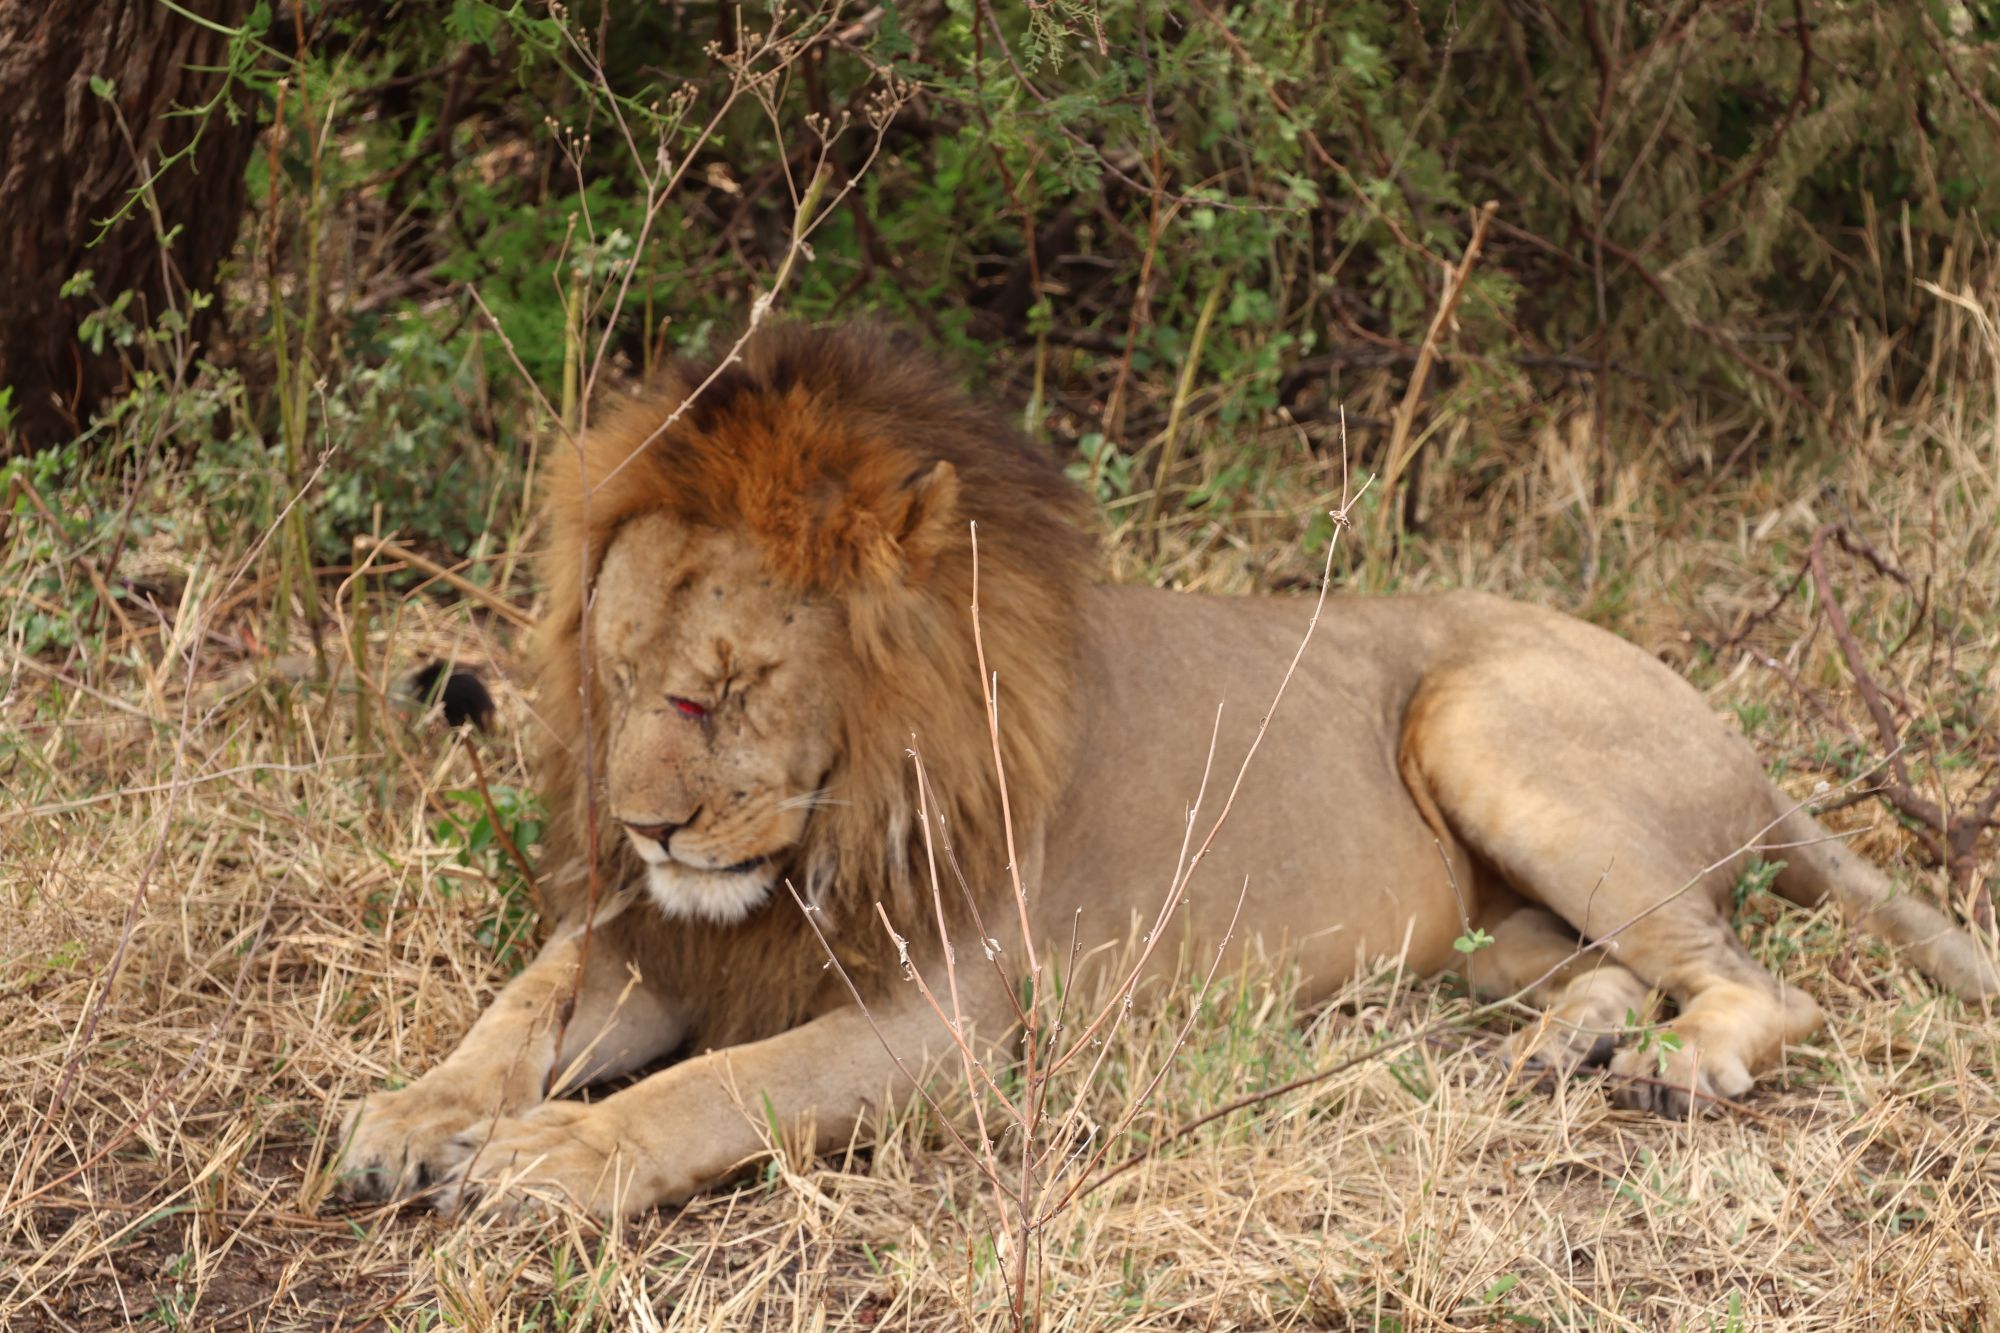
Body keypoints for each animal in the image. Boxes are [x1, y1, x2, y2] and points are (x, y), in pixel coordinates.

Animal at [335, 323, 1998, 1217]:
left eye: (725, 687)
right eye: (616, 680)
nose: (643, 829)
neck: (831, 822)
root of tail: (1744, 743)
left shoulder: (942, 1023)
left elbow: (722, 1087)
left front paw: (555, 1154)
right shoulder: (679, 937)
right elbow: (523, 1001)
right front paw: (412, 1118)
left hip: (1478, 721)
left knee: (1756, 983)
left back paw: (1671, 1065)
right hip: (1476, 919)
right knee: (1603, 961)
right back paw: (1568, 1043)